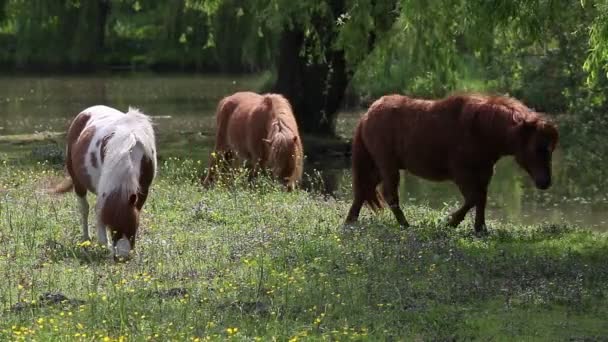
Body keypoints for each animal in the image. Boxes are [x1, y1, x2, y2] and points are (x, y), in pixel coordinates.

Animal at [51, 105, 157, 258]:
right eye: (113, 229)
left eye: (133, 228)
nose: (122, 257)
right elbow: (99, 211)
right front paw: (103, 245)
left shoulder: (143, 190)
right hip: (78, 182)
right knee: (84, 208)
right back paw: (86, 239)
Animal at [344, 92, 560, 234]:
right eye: (538, 148)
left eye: (551, 149)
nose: (546, 182)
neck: (482, 129)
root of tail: (367, 114)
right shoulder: (462, 173)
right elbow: (473, 198)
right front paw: (451, 222)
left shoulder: (485, 172)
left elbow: (481, 198)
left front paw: (480, 228)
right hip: (387, 165)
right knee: (389, 195)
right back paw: (405, 225)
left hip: (378, 166)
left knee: (363, 190)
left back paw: (350, 221)